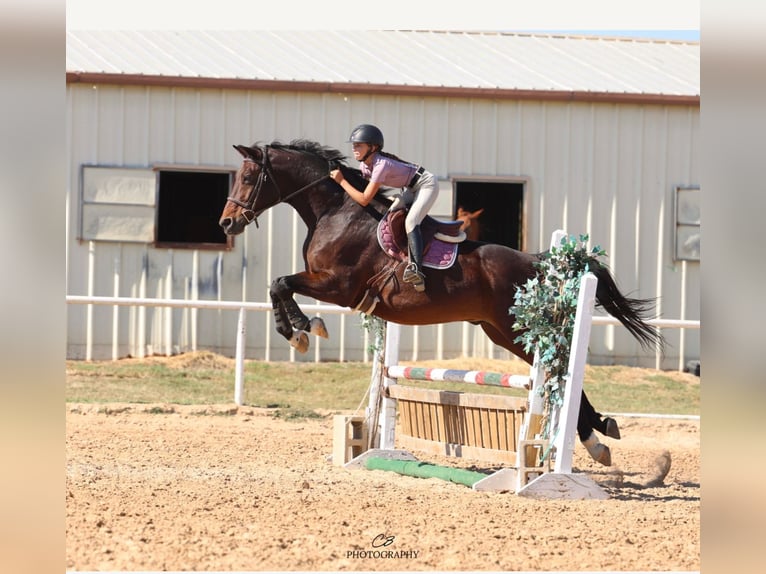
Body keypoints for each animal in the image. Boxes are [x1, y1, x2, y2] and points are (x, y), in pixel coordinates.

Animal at [218, 139, 664, 467]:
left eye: (249, 176)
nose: (226, 223)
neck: (334, 212)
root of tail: (539, 261)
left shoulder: (338, 286)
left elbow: (280, 283)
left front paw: (305, 330)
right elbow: (277, 286)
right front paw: (297, 333)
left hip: (518, 328)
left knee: (558, 369)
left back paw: (594, 439)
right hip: (502, 333)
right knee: (555, 371)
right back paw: (599, 434)